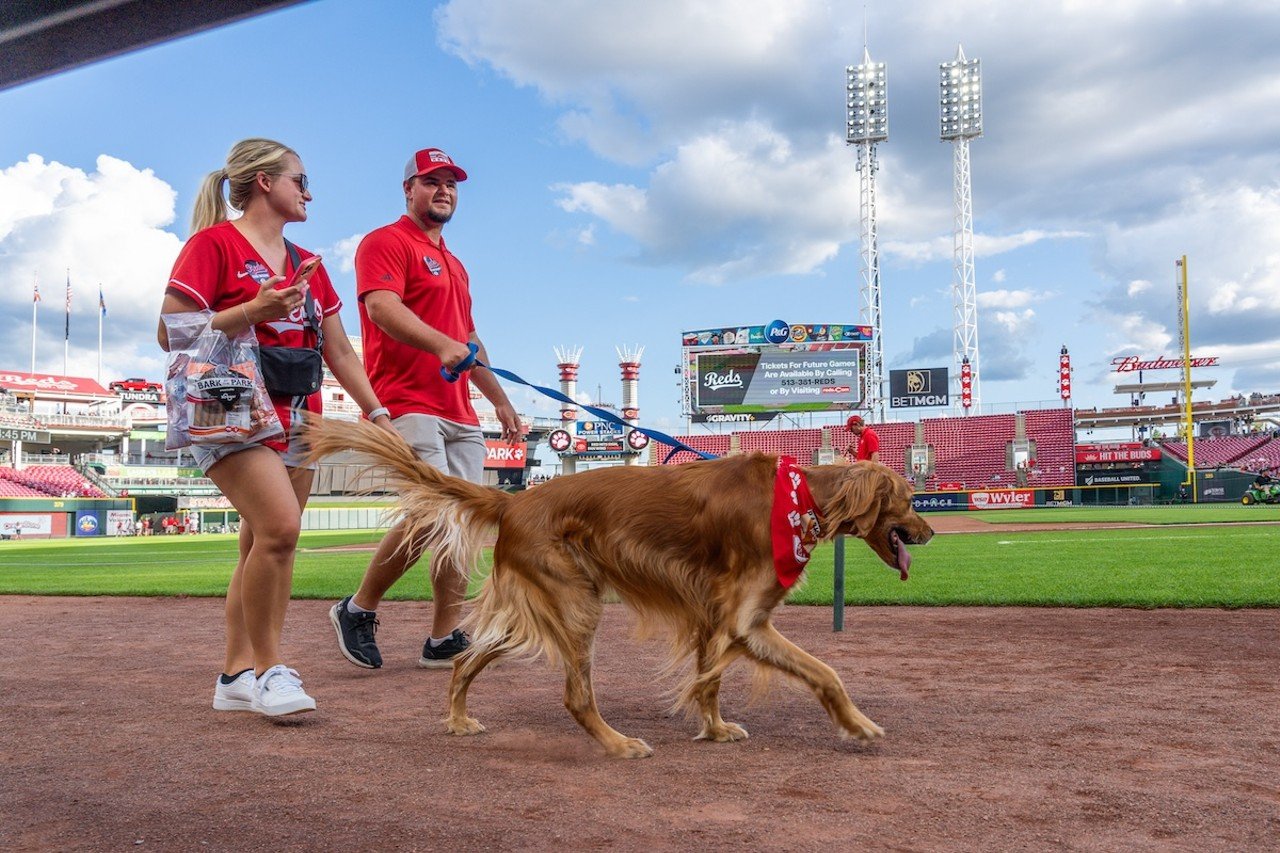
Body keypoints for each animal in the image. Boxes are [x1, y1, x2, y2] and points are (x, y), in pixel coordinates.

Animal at [305, 414, 936, 753]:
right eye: (909, 499)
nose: (929, 530)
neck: (800, 497)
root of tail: (513, 501)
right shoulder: (745, 621)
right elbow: (826, 673)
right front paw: (858, 725)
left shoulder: (717, 619)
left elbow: (709, 683)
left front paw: (713, 729)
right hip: (576, 604)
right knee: (576, 695)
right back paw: (616, 745)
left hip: (539, 611)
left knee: (465, 661)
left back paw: (459, 720)